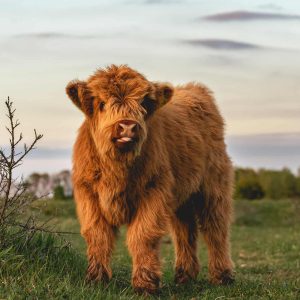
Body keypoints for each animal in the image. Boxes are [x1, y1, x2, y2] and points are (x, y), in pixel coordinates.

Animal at [65, 65, 234, 292]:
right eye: (102, 104)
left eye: (143, 103)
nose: (127, 126)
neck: (118, 168)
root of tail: (195, 89)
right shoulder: (89, 194)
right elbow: (98, 236)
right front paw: (96, 279)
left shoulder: (153, 191)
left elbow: (143, 235)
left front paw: (145, 284)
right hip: (182, 197)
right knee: (185, 230)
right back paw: (185, 276)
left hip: (213, 188)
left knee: (215, 229)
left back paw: (222, 277)